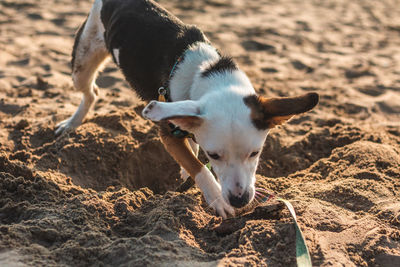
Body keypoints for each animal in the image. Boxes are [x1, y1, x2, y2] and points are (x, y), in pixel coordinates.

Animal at [56, 0, 318, 219]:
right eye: (214, 156)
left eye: (255, 153)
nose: (239, 200)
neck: (208, 73)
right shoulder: (168, 133)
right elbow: (198, 166)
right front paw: (216, 198)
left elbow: (191, 144)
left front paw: (187, 167)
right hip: (82, 63)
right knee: (91, 92)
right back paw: (71, 124)